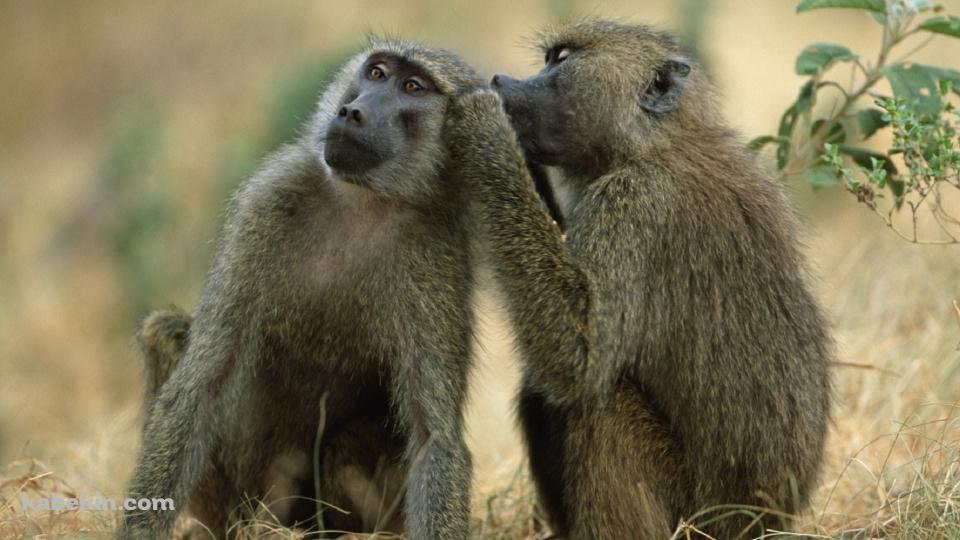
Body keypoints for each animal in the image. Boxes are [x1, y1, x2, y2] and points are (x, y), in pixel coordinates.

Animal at [118, 40, 485, 539]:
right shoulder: (267, 202)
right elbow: (200, 385)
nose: (352, 111)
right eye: (376, 72)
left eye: (413, 87)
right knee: (164, 332)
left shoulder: (438, 257)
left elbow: (434, 438)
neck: (363, 202)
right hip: (242, 497)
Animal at [445, 20, 833, 539]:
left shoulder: (636, 206)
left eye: (562, 60)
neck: (652, 143)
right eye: (549, 58)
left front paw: (486, 127)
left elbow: (580, 358)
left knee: (599, 404)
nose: (502, 81)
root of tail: (767, 521)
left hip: (695, 515)